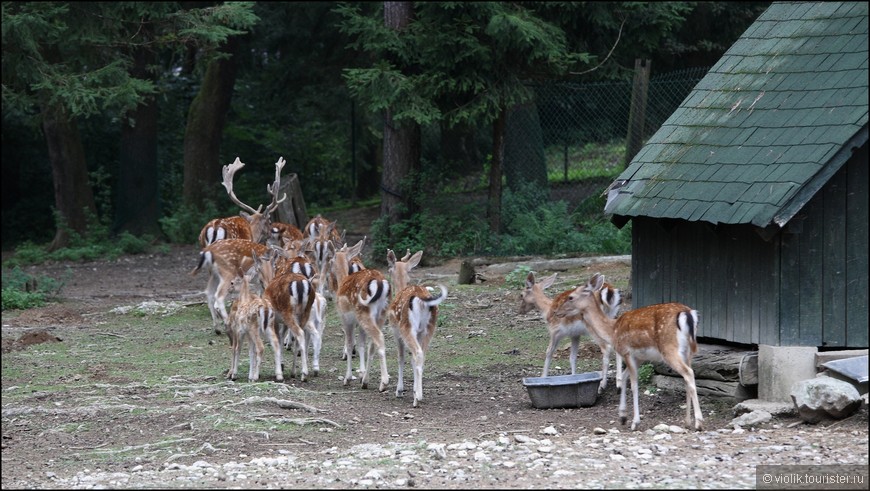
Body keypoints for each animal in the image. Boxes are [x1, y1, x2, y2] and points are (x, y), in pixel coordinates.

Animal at [388, 250, 450, 408]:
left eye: (388, 269)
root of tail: (422, 300)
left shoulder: (396, 331)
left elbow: (401, 357)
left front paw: (399, 391)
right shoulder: (419, 333)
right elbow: (411, 360)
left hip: (407, 327)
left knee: (418, 353)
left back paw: (417, 398)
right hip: (429, 329)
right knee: (422, 355)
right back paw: (419, 395)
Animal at [560, 274, 708, 432]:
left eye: (570, 297)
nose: (558, 312)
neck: (612, 331)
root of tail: (688, 314)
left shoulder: (626, 351)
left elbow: (634, 384)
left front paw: (635, 422)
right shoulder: (639, 357)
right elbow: (624, 378)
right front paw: (622, 416)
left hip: (669, 348)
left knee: (688, 373)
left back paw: (699, 423)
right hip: (688, 351)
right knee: (688, 376)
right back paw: (687, 422)